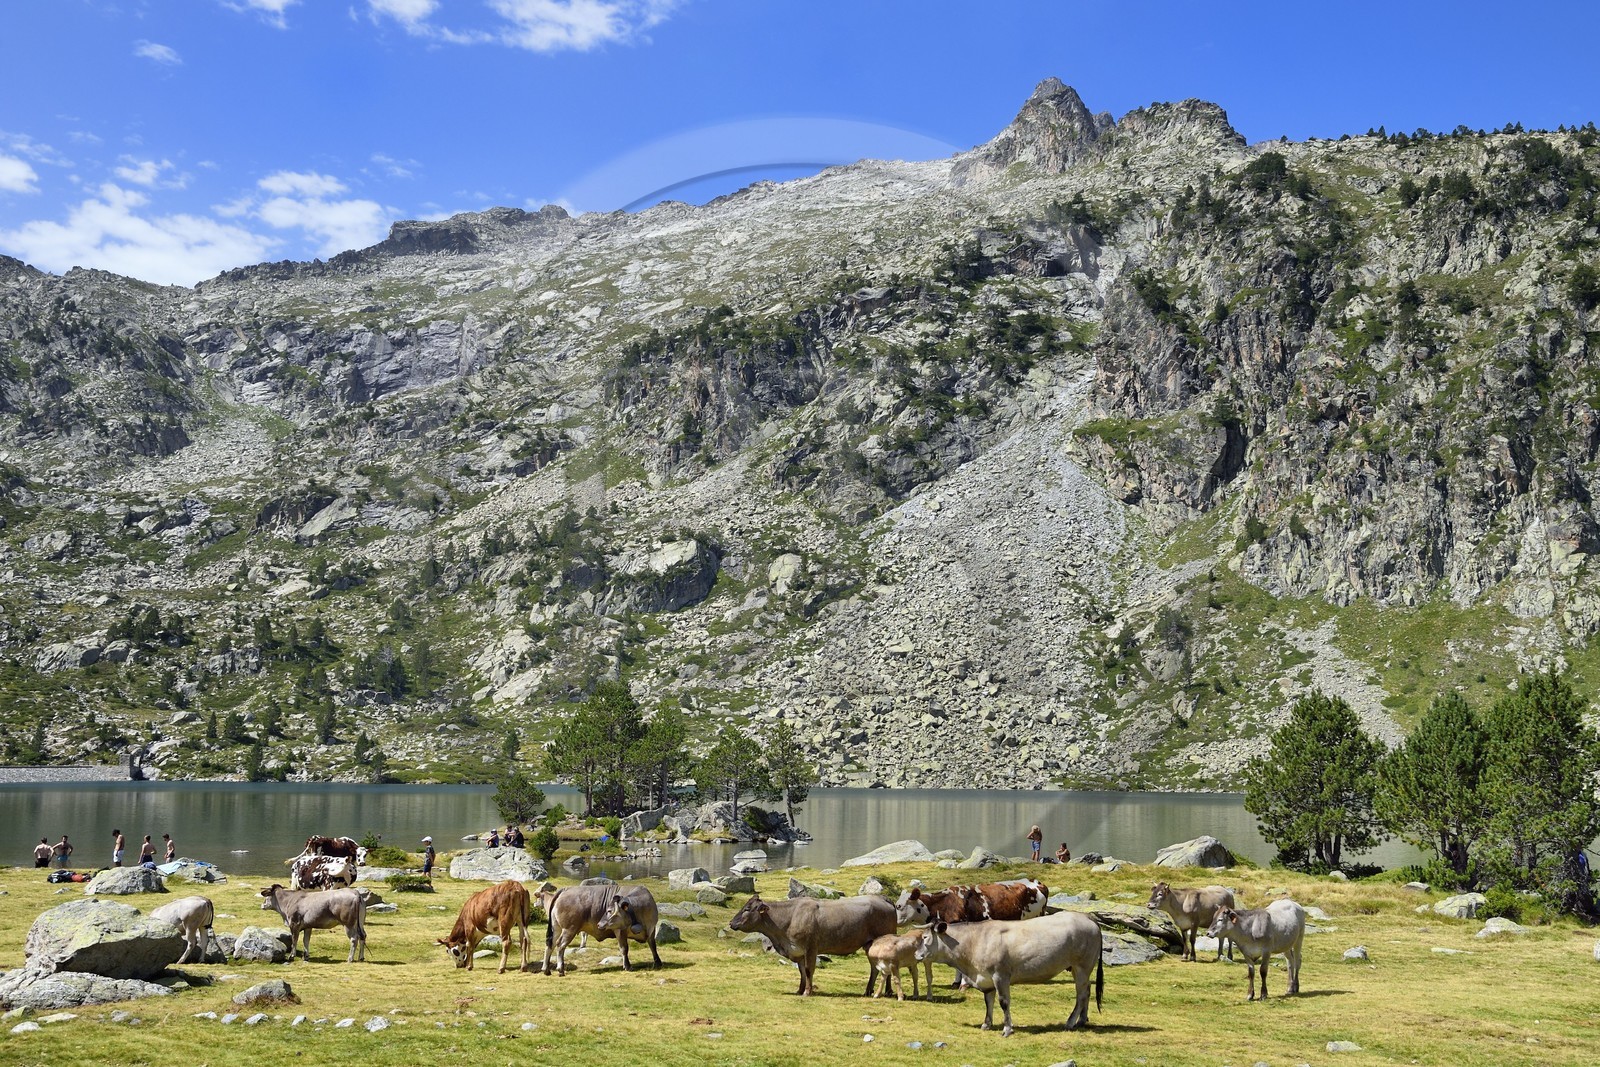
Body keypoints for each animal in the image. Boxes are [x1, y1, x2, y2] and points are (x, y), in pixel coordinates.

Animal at [727, 893, 896, 996]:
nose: (731, 923)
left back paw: (888, 991)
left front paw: (807, 992)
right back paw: (869, 991)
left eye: (747, 909)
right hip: (869, 945)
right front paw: (800, 990)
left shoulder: (811, 947)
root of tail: (882, 898)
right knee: (875, 968)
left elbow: (809, 970)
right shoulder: (798, 951)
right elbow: (802, 971)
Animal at [914, 911, 1104, 1037]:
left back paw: (1070, 1022)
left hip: (1082, 966)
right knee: (1087, 991)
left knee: (1081, 994)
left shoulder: (1000, 975)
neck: (974, 941)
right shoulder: (986, 978)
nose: (916, 954)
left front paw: (1007, 1029)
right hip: (1078, 968)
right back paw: (1082, 1020)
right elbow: (988, 1002)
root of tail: (1087, 918)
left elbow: (1003, 1002)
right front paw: (986, 1024)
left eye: (924, 937)